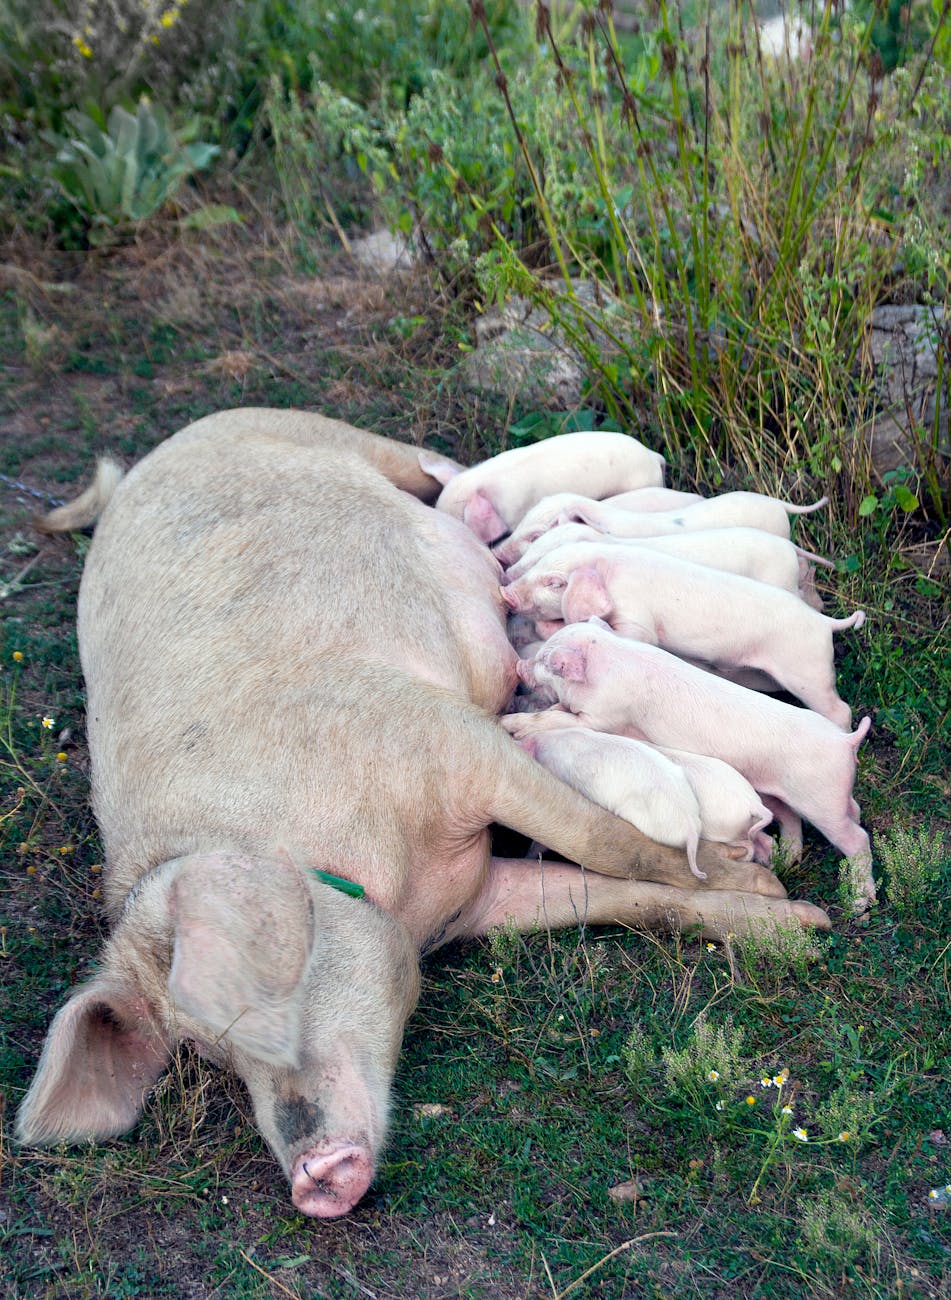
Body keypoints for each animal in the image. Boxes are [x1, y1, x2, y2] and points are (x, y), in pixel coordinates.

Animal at [502, 543, 864, 727]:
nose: (506, 594)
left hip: (807, 671)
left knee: (840, 709)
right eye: (538, 563)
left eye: (555, 583)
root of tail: (825, 624)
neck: (611, 569)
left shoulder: (637, 619)